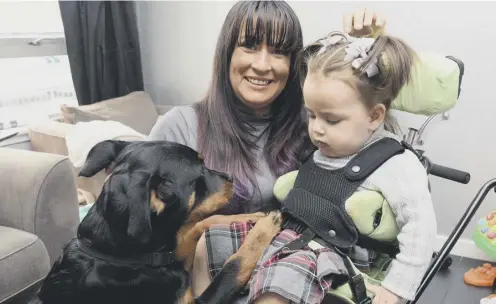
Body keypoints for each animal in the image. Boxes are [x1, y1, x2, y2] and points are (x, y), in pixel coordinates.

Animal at [31, 140, 280, 304]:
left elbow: (202, 221)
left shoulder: (174, 251)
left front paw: (254, 216)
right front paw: (265, 228)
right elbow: (233, 266)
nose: (231, 177)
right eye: (199, 175)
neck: (122, 255)